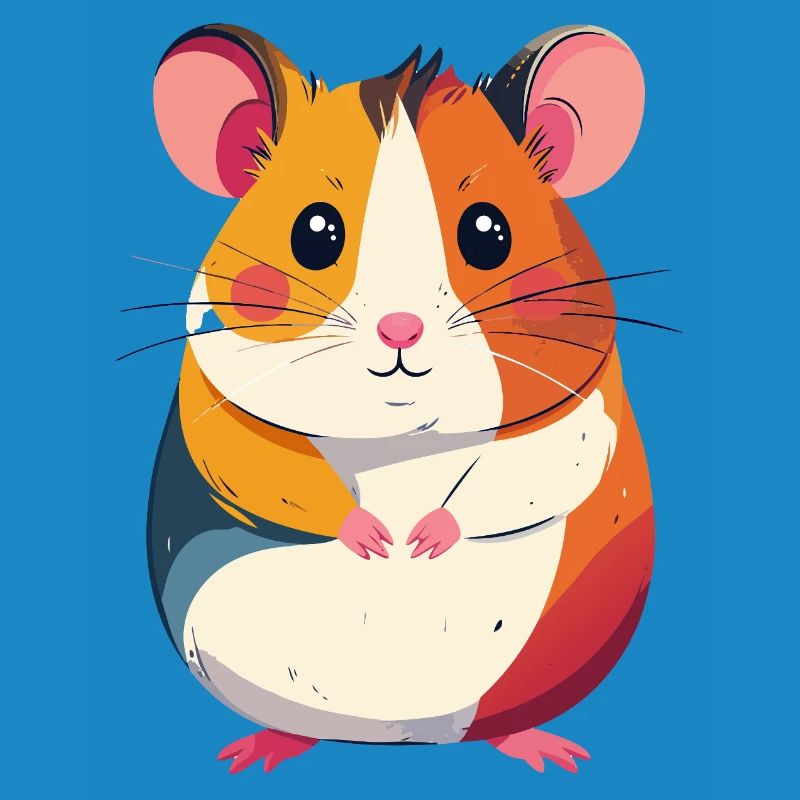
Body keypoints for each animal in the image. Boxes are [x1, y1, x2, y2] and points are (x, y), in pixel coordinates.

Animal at [146, 22, 654, 775]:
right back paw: (256, 751)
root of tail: (401, 734)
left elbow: (531, 470)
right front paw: (377, 540)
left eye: (488, 232)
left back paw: (546, 751)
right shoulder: (218, 404)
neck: (402, 438)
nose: (400, 329)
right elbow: (264, 467)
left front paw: (422, 540)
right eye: (315, 232)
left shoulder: (580, 414)